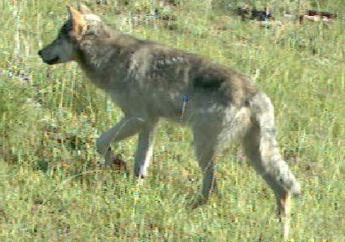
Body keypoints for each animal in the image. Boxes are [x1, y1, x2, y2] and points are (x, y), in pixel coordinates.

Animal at [39, 4, 300, 239]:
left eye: (57, 38)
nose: (40, 52)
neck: (111, 56)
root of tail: (255, 93)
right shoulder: (150, 123)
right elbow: (140, 165)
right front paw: (134, 189)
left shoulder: (136, 118)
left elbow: (101, 142)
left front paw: (114, 164)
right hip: (253, 155)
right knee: (283, 191)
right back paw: (281, 233)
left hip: (203, 149)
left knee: (213, 188)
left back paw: (190, 210)